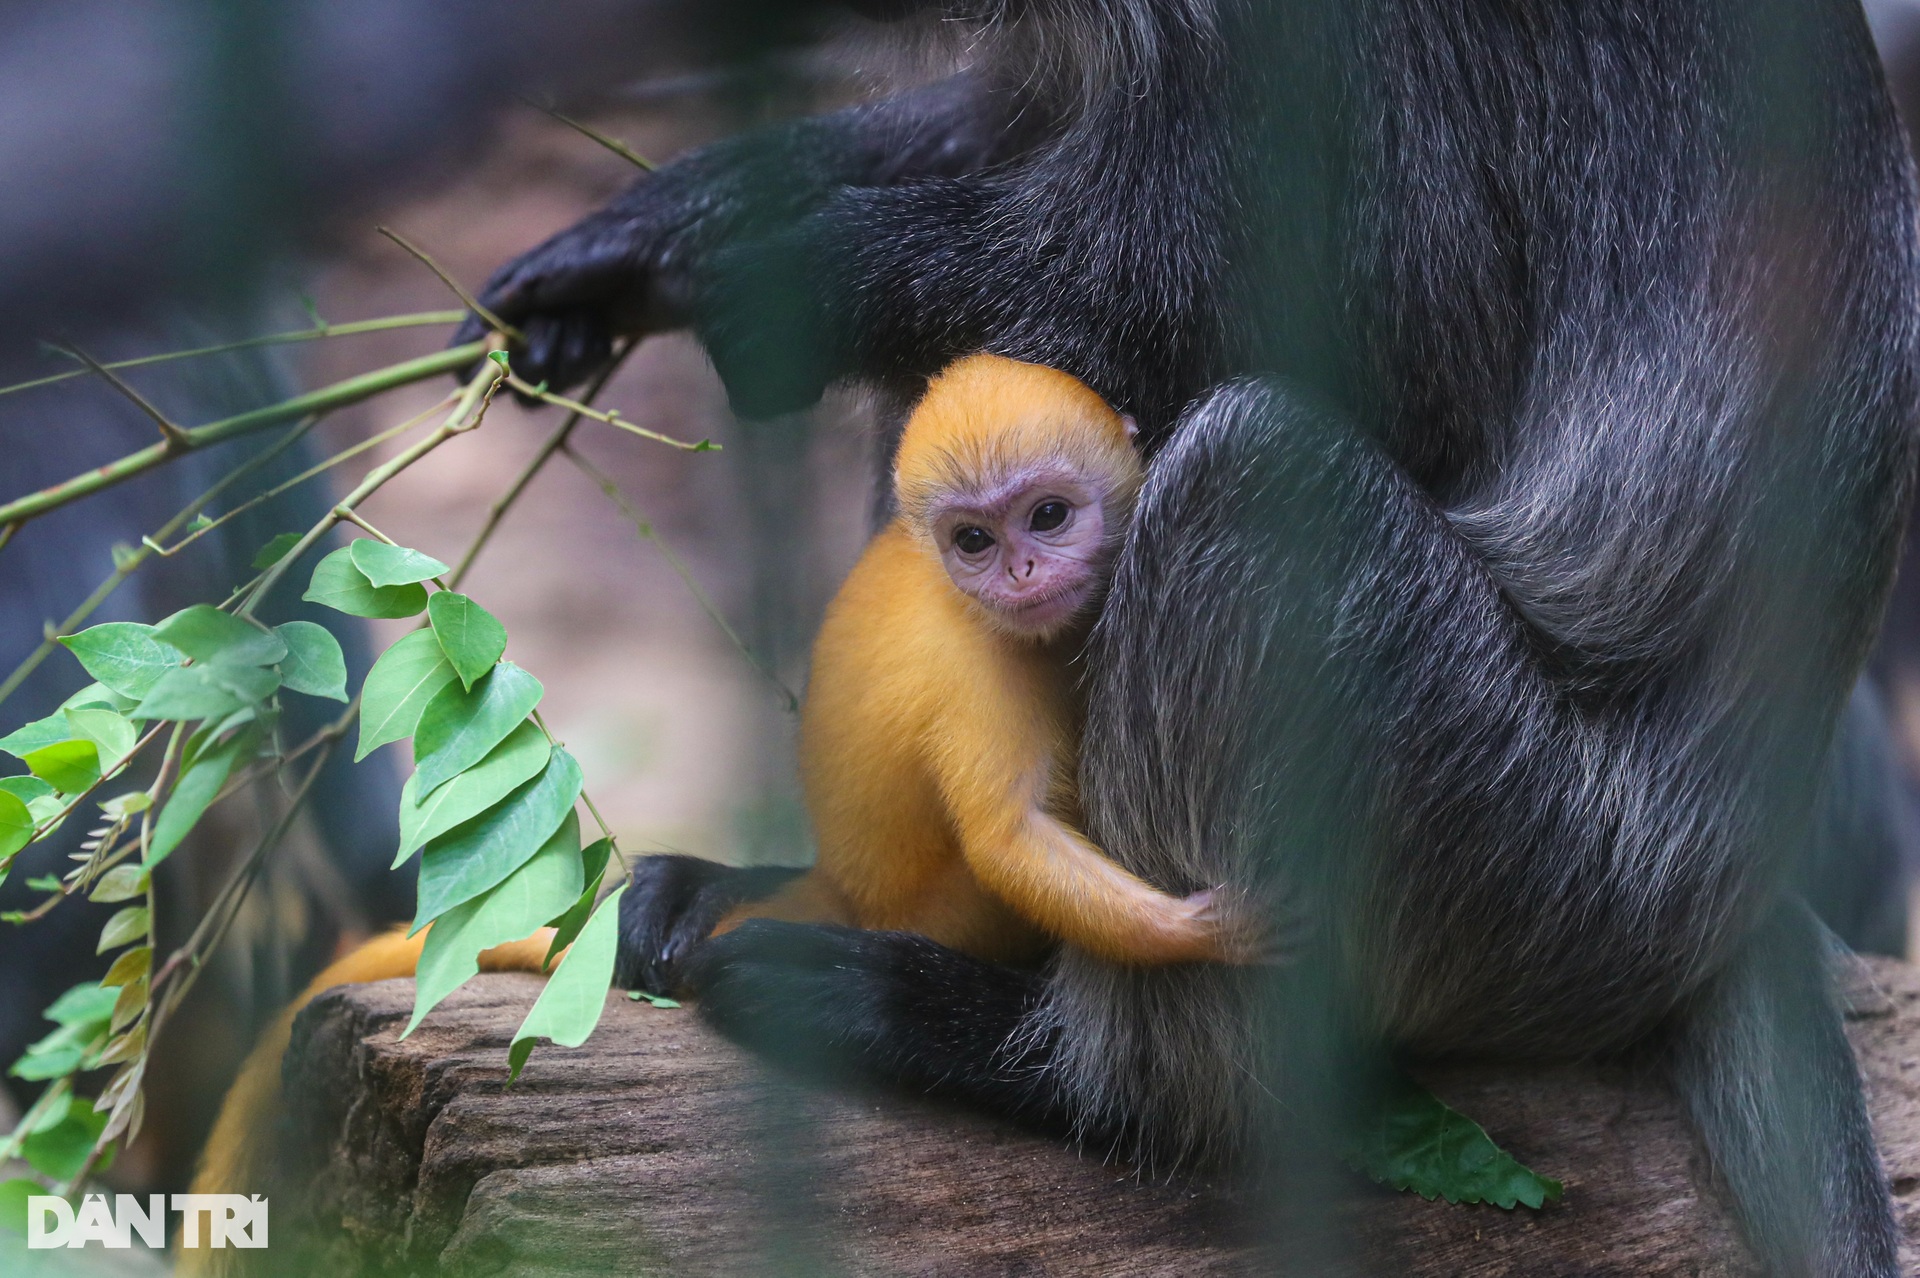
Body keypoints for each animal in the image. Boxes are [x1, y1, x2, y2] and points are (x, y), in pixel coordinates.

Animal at [718, 353, 1244, 959]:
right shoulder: (979, 664)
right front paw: (1199, 932)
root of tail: (838, 887)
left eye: (1048, 516)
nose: (1021, 573)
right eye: (973, 540)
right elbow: (1008, 837)